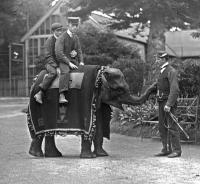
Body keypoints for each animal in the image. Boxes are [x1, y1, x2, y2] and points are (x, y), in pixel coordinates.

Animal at [27, 64, 156, 158]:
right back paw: (38, 155)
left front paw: (102, 155)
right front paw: (89, 157)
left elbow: (98, 125)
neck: (100, 75)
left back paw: (52, 155)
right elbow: (88, 126)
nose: (155, 86)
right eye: (119, 90)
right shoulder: (86, 97)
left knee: (47, 132)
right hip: (38, 106)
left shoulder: (96, 100)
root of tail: (35, 80)